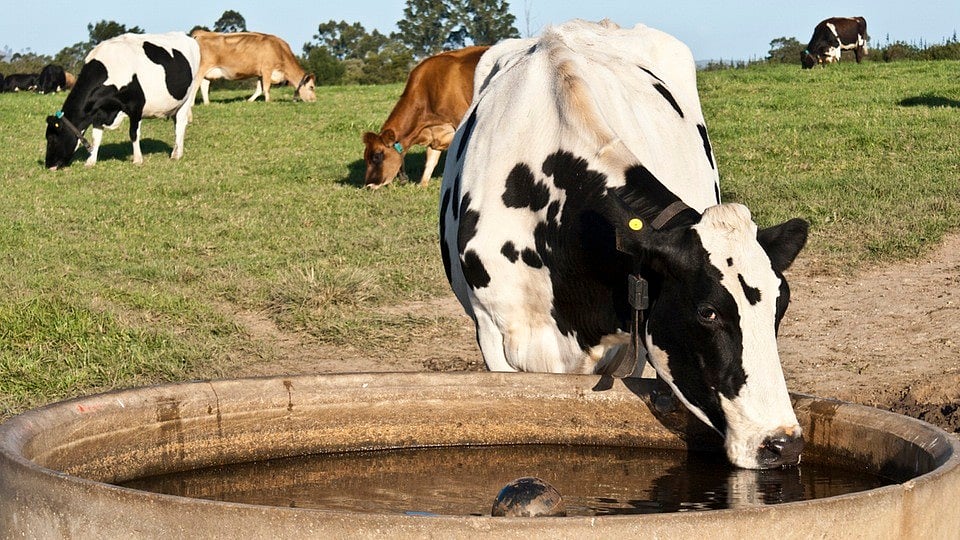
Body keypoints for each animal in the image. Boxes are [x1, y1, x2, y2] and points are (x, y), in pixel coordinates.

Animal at [45, 32, 201, 170]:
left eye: (51, 139)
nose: (48, 165)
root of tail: (187, 37)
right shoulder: (99, 112)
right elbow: (96, 137)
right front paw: (90, 161)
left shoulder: (136, 106)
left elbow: (133, 133)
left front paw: (137, 159)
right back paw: (178, 151)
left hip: (187, 97)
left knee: (180, 124)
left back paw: (176, 155)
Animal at [362, 45, 489, 189]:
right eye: (365, 157)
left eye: (376, 156)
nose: (368, 185)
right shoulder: (436, 134)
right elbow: (430, 162)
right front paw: (422, 186)